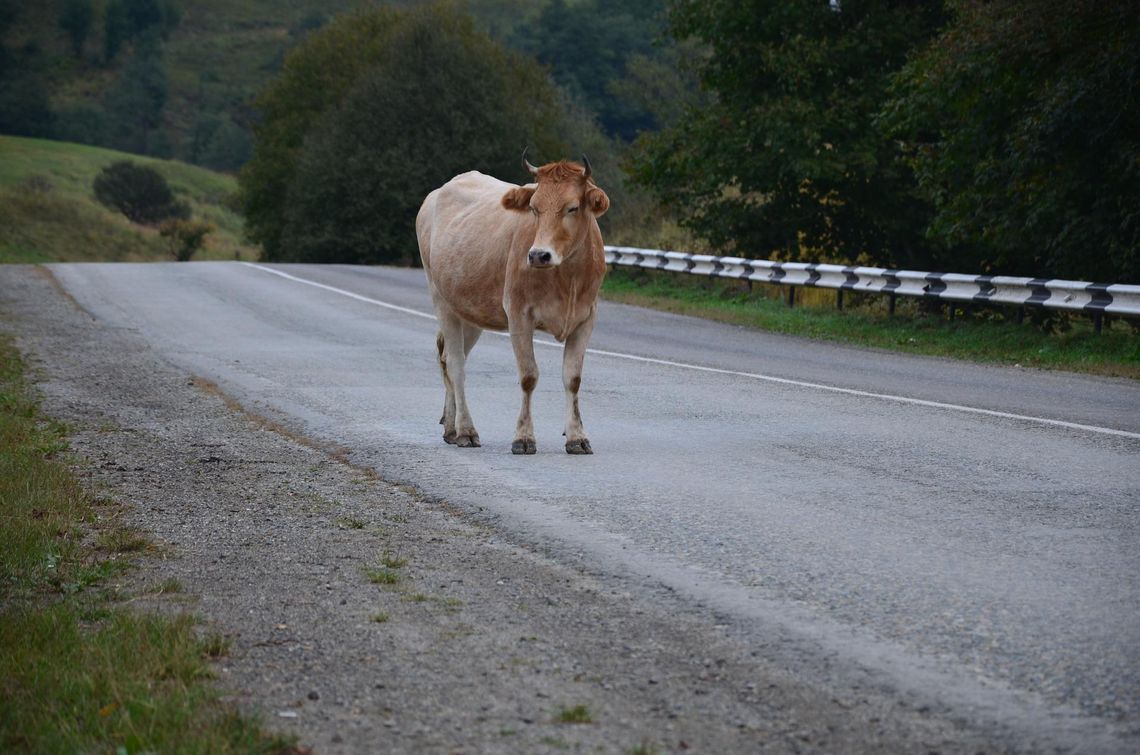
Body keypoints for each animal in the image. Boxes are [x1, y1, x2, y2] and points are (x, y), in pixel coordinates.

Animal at [417, 149, 611, 456]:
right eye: (534, 208)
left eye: (572, 208)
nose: (538, 255)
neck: (567, 278)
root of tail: (438, 192)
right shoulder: (519, 315)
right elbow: (529, 376)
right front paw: (524, 438)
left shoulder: (586, 318)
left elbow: (573, 378)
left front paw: (577, 437)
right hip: (441, 300)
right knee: (457, 365)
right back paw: (466, 431)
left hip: (470, 310)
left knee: (448, 358)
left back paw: (451, 427)